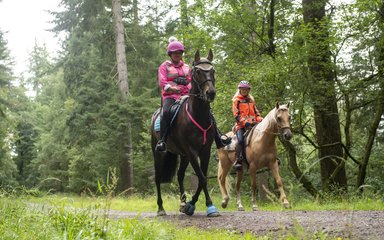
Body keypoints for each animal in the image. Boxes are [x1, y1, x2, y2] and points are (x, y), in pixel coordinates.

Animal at [152, 49, 220, 218]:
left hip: (182, 155)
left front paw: (190, 205)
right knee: (157, 178)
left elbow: (203, 177)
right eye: (197, 71)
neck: (198, 115)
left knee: (180, 175)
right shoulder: (191, 152)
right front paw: (208, 206)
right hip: (159, 153)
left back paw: (182, 203)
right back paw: (161, 208)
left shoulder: (204, 151)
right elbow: (202, 178)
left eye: (213, 70)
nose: (210, 93)